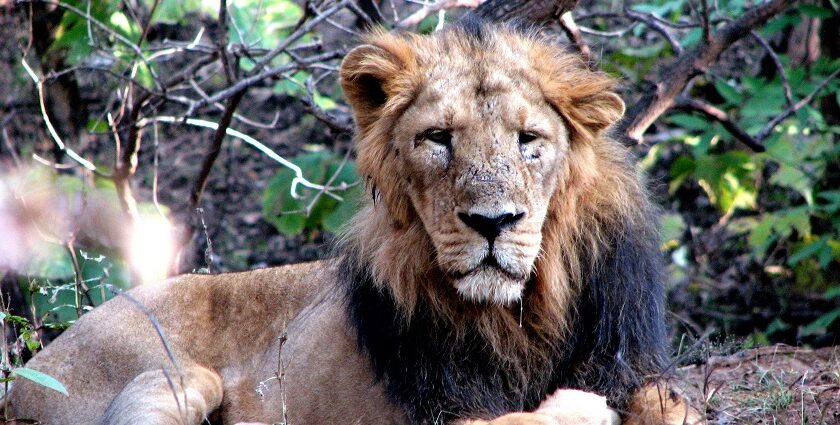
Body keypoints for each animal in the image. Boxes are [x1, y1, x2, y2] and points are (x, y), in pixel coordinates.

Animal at [8, 21, 704, 424]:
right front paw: (578, 407)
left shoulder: (631, 364)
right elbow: (539, 417)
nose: (493, 222)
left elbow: (670, 406)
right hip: (176, 375)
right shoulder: (446, 413)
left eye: (529, 140)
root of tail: (19, 382)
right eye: (438, 139)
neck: (518, 314)